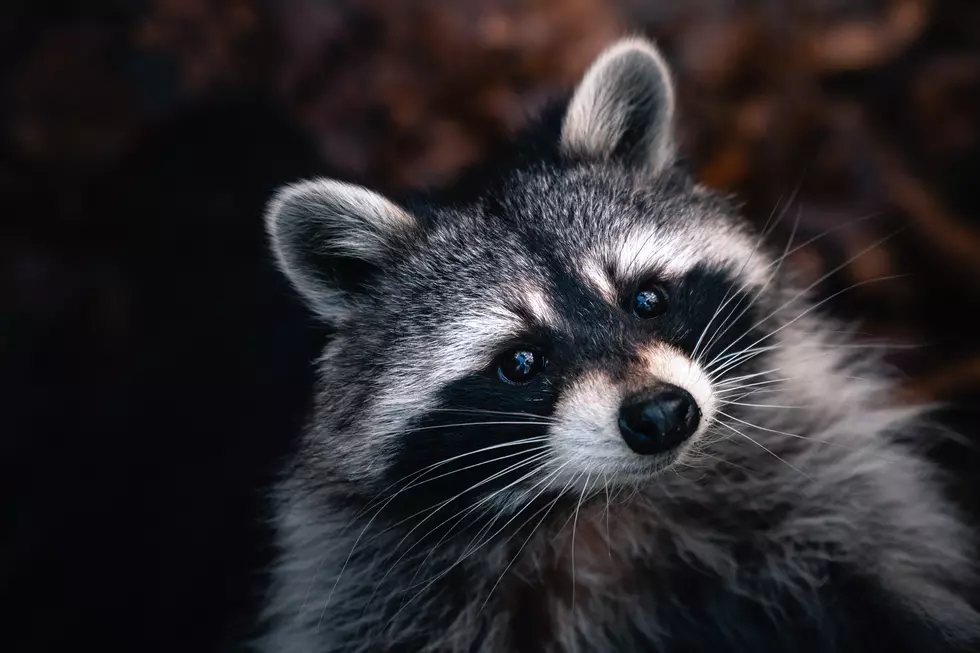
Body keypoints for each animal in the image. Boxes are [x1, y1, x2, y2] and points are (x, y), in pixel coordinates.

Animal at [255, 37, 980, 652]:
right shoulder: (374, 589)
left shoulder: (826, 489)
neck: (609, 500)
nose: (662, 414)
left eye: (647, 300)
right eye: (520, 362)